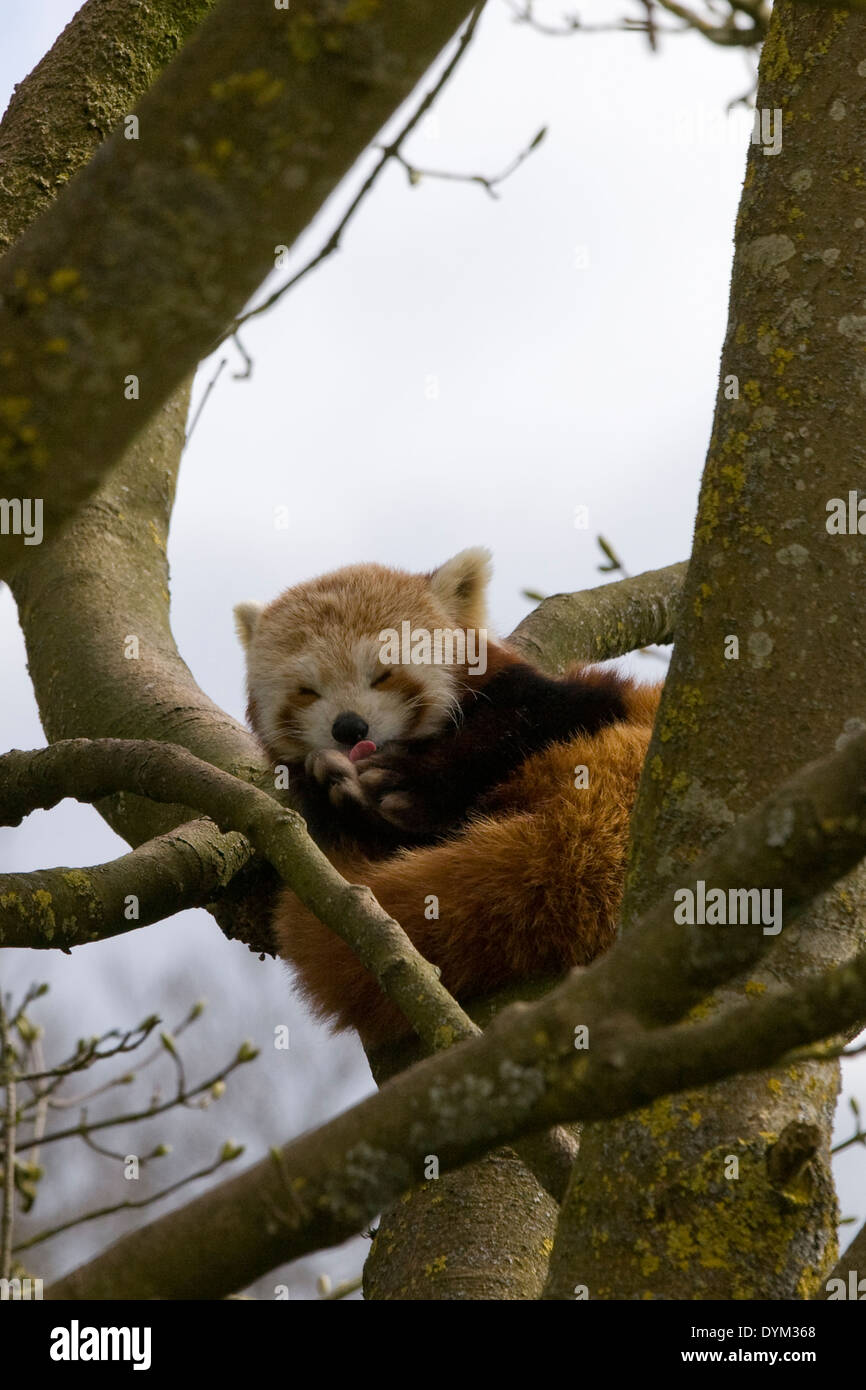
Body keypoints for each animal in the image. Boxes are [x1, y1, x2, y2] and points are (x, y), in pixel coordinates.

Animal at [233, 547, 661, 1045]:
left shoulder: (559, 701)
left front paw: (405, 780)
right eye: (307, 690)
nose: (349, 727)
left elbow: (525, 725)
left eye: (383, 674)